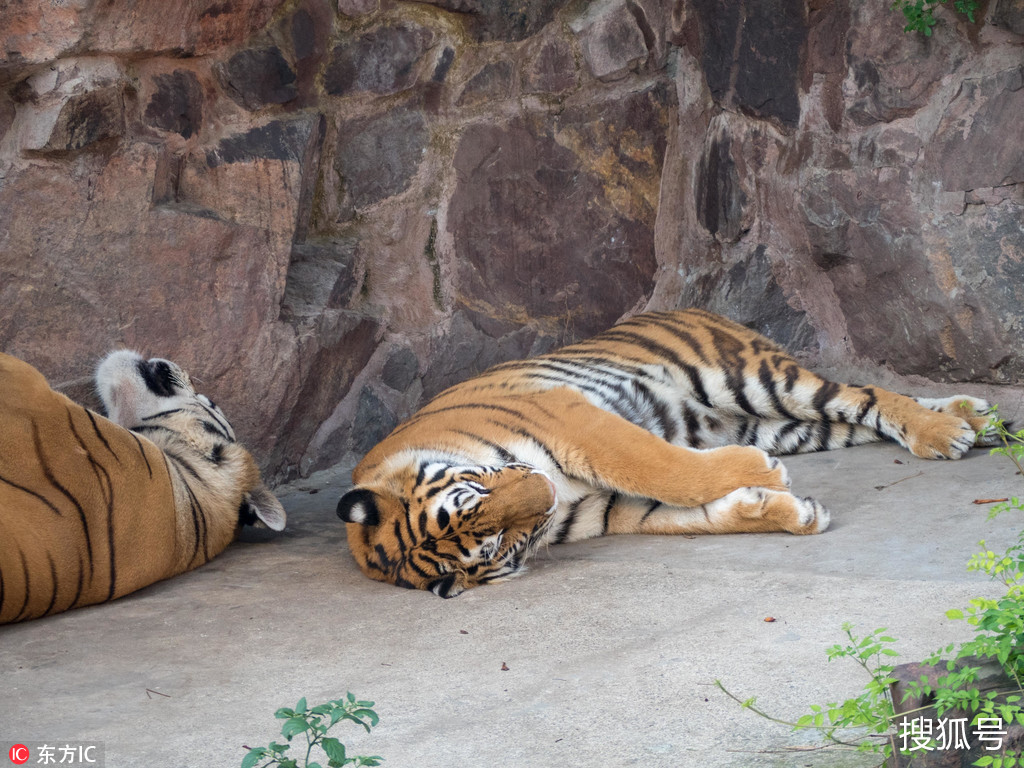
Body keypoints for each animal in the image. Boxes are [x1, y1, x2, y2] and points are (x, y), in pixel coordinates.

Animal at [337, 309, 999, 598]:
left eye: (474, 494)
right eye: (493, 543)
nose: (545, 492)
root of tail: (689, 304)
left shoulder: (572, 419)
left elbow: (662, 466)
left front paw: (762, 478)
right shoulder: (607, 509)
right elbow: (692, 515)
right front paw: (791, 511)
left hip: (755, 380)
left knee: (866, 394)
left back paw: (947, 433)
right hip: (784, 424)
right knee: (863, 413)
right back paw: (976, 419)